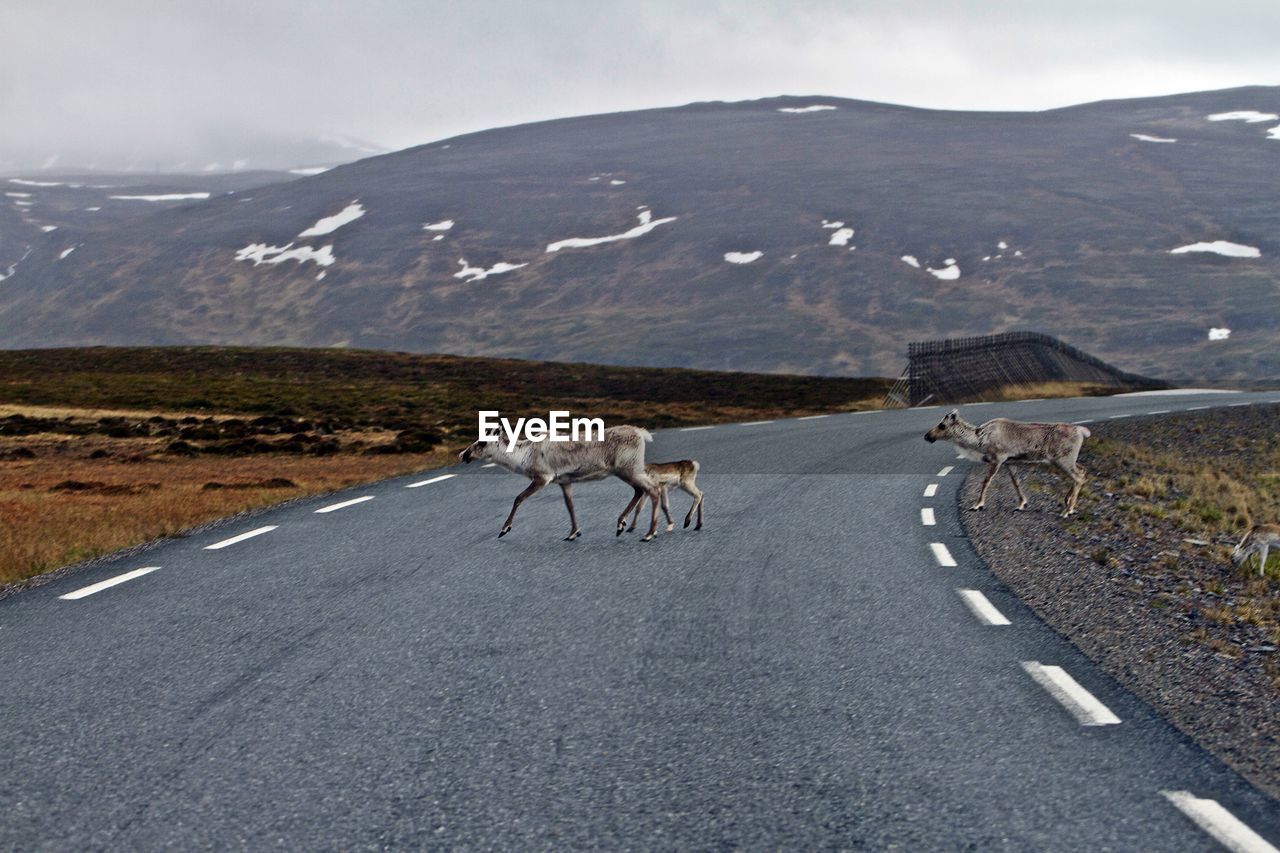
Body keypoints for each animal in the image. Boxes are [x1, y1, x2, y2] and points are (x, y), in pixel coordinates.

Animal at [921, 409, 1090, 514]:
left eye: (942, 425)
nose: (927, 436)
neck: (981, 440)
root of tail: (1082, 431)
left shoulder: (997, 459)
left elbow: (986, 481)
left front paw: (977, 505)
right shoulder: (1010, 462)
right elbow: (1016, 482)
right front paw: (1021, 504)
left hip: (1063, 460)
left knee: (1078, 477)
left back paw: (1067, 510)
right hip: (1067, 460)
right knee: (1082, 470)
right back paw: (1067, 503)